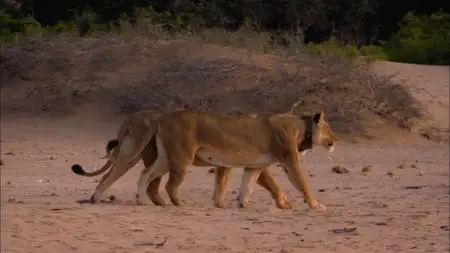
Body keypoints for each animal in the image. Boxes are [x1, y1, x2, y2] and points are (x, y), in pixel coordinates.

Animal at [71, 108, 316, 210]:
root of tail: (133, 118)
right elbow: (270, 182)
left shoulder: (228, 163)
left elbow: (225, 183)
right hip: (162, 157)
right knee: (157, 183)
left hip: (143, 155)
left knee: (136, 178)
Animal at [134, 109, 338, 210]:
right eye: (328, 128)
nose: (336, 140)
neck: (302, 128)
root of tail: (162, 118)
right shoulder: (289, 160)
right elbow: (302, 183)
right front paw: (316, 204)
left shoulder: (255, 165)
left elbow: (248, 184)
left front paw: (243, 203)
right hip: (182, 158)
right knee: (170, 185)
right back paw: (180, 204)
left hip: (165, 159)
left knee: (146, 173)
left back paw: (141, 200)